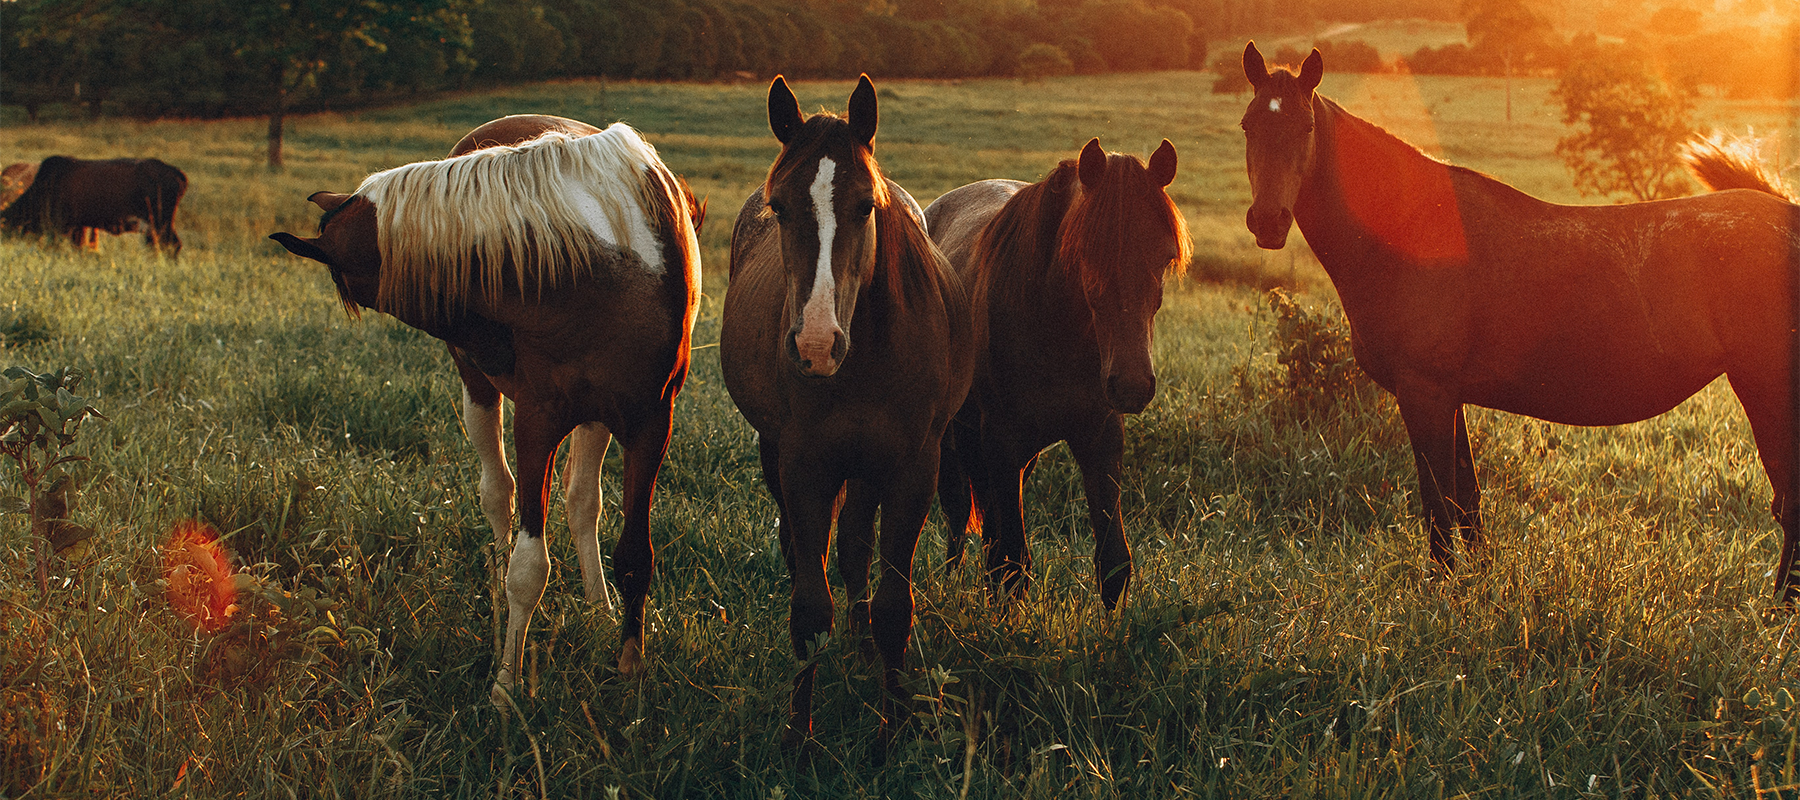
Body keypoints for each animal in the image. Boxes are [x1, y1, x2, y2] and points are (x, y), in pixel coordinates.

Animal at [269, 118, 702, 704]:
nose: (483, 341)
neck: (602, 262)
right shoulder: (537, 420)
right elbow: (528, 566)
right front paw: (506, 683)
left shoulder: (650, 422)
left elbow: (636, 554)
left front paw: (629, 667)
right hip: (482, 394)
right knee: (498, 495)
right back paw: (500, 604)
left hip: (595, 416)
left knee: (581, 501)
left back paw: (597, 606)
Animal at [719, 75, 973, 753]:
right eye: (780, 207)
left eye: (865, 206)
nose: (814, 344)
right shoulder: (805, 466)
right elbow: (810, 607)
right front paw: (797, 736)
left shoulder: (913, 469)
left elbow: (892, 606)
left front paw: (896, 727)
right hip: (781, 455)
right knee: (805, 551)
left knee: (857, 547)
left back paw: (862, 653)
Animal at [924, 138, 1188, 610]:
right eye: (1086, 253)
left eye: (1165, 256)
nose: (1132, 385)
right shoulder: (1001, 440)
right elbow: (1012, 563)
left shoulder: (1100, 436)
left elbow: (1113, 561)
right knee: (958, 519)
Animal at [1239, 41, 1800, 598]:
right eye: (1248, 125)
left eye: (1306, 127)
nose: (1267, 221)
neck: (1412, 229)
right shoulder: (1448, 394)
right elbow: (1466, 500)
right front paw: (1479, 581)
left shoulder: (1424, 391)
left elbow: (1438, 501)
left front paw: (1442, 587)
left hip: (1765, 388)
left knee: (1789, 502)